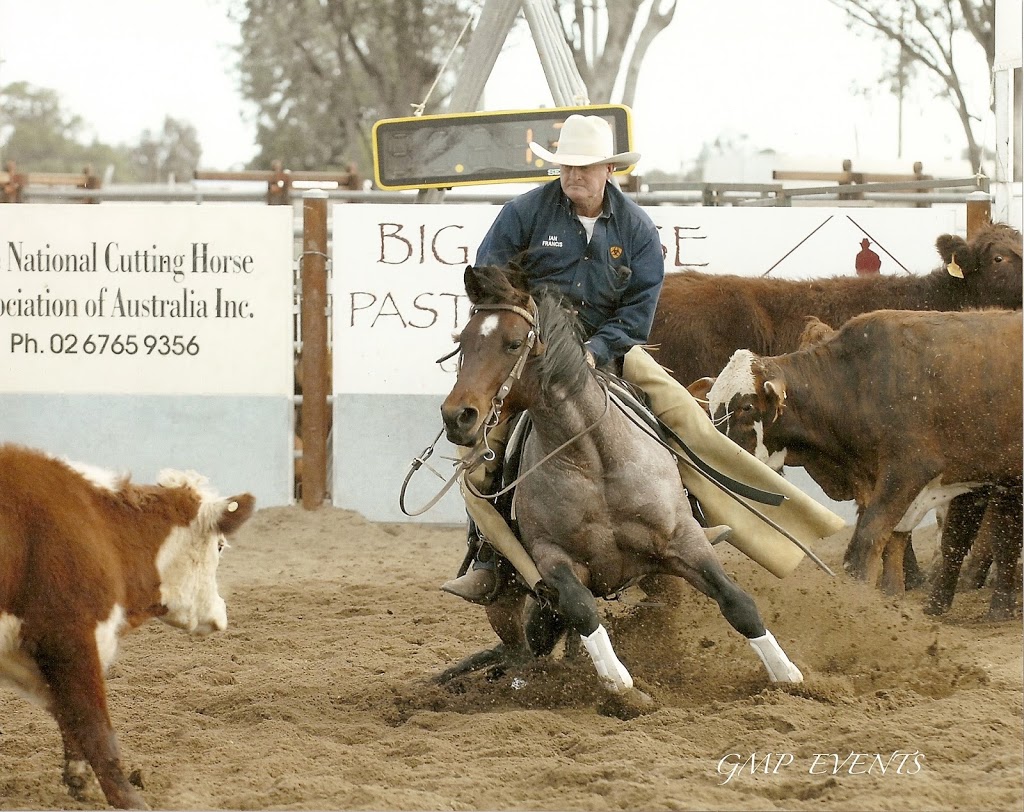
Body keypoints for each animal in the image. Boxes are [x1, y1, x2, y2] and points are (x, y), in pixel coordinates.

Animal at [0, 444, 254, 810]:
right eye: (219, 545)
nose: (221, 612)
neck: (103, 529)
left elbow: (68, 714)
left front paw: (80, 780)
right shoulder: (71, 636)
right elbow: (94, 726)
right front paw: (128, 797)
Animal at [436, 262, 802, 704]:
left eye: (512, 343)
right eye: (462, 342)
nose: (458, 416)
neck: (595, 462)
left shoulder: (684, 540)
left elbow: (737, 602)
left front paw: (789, 675)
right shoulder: (550, 557)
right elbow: (581, 608)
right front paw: (621, 685)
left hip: (661, 582)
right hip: (503, 600)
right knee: (522, 648)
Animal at [708, 307, 1019, 618]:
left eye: (746, 406)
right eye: (711, 408)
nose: (718, 453)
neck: (856, 383)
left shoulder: (906, 473)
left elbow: (869, 538)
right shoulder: (873, 481)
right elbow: (893, 542)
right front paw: (892, 600)